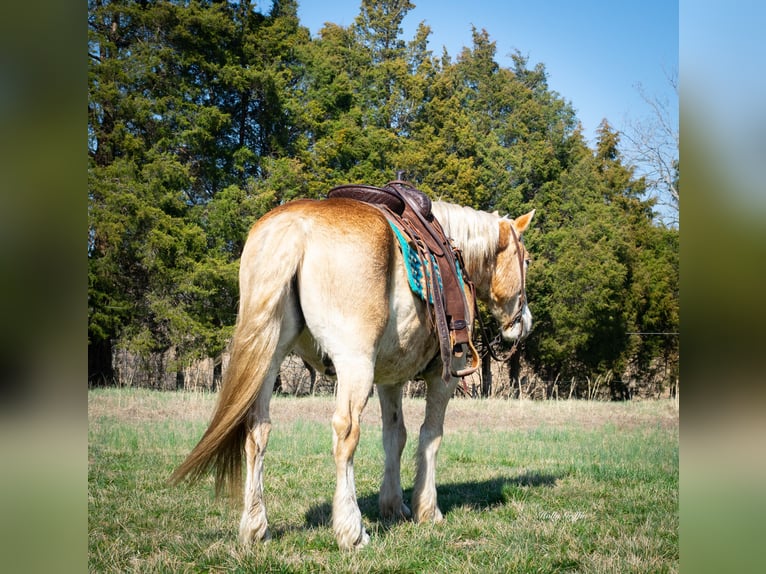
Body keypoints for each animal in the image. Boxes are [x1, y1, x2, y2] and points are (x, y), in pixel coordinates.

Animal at [171, 196, 536, 552]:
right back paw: (351, 530)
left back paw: (255, 527)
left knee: (257, 431)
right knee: (346, 434)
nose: (524, 322)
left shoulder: (390, 381)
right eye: (528, 261)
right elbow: (430, 436)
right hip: (354, 363)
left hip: (268, 357)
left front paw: (394, 505)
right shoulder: (444, 377)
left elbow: (395, 436)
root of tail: (295, 227)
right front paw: (427, 509)